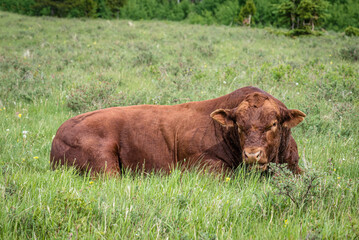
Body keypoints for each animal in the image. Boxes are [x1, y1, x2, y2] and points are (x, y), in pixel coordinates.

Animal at [50, 86, 306, 174]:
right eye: (240, 127)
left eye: (273, 124)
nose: (252, 154)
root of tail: (59, 133)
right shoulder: (205, 167)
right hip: (104, 164)